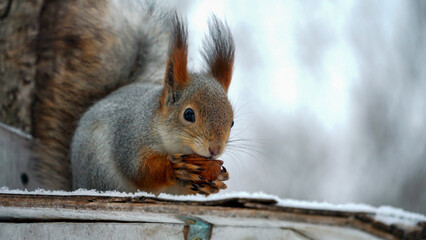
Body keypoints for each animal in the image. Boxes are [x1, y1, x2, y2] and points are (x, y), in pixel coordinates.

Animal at [31, 0, 235, 195]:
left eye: (232, 122)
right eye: (189, 114)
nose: (215, 149)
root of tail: (76, 184)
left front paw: (217, 180)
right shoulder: (130, 140)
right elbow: (140, 170)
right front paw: (175, 169)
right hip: (98, 169)